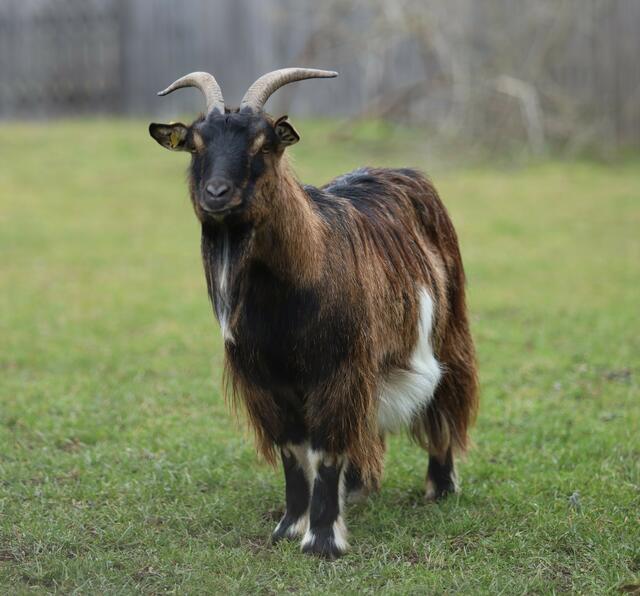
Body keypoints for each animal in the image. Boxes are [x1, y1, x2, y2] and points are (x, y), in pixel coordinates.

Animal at [149, 68, 479, 559]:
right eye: (196, 143)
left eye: (264, 143)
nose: (216, 194)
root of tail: (399, 171)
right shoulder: (267, 380)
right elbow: (293, 451)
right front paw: (289, 526)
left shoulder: (336, 368)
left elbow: (325, 451)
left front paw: (322, 540)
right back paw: (357, 487)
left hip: (448, 329)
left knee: (444, 397)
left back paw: (440, 487)